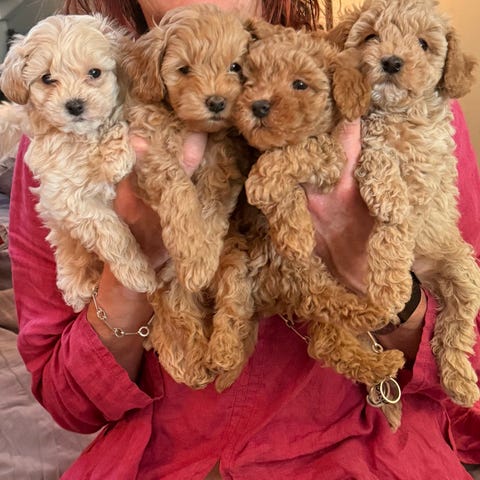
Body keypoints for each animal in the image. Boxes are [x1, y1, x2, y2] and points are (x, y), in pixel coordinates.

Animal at [0, 14, 158, 312]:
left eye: (94, 73)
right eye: (47, 78)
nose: (74, 105)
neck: (84, 136)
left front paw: (117, 152)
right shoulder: (67, 196)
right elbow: (109, 231)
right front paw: (138, 273)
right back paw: (79, 282)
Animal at [121, 4, 253, 388]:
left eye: (235, 67)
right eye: (183, 70)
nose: (217, 102)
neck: (188, 125)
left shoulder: (225, 158)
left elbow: (210, 198)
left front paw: (199, 255)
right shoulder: (149, 148)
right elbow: (177, 186)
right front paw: (191, 250)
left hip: (234, 256)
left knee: (233, 297)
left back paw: (224, 352)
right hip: (170, 293)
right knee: (181, 320)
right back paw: (191, 365)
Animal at [331, 0, 480, 417]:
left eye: (424, 44)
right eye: (370, 36)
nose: (392, 61)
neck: (397, 115)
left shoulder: (425, 177)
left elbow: (395, 229)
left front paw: (391, 282)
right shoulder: (369, 140)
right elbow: (380, 164)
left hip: (463, 269)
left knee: (454, 327)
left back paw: (460, 379)